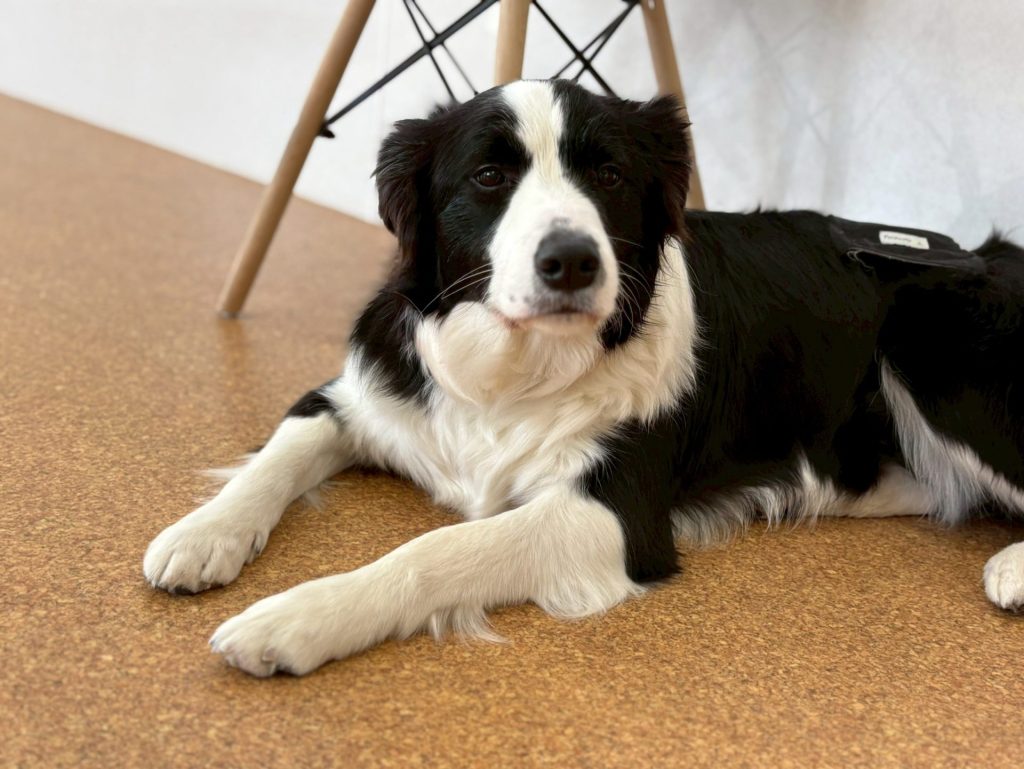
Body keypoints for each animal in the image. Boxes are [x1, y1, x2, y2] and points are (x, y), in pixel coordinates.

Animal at [144, 79, 1024, 677]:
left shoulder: (612, 509)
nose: (570, 260)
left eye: (608, 175)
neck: (517, 367)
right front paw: (202, 533)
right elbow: (275, 456)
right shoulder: (358, 393)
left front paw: (295, 616)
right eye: (488, 177)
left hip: (931, 342)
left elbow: (436, 548)